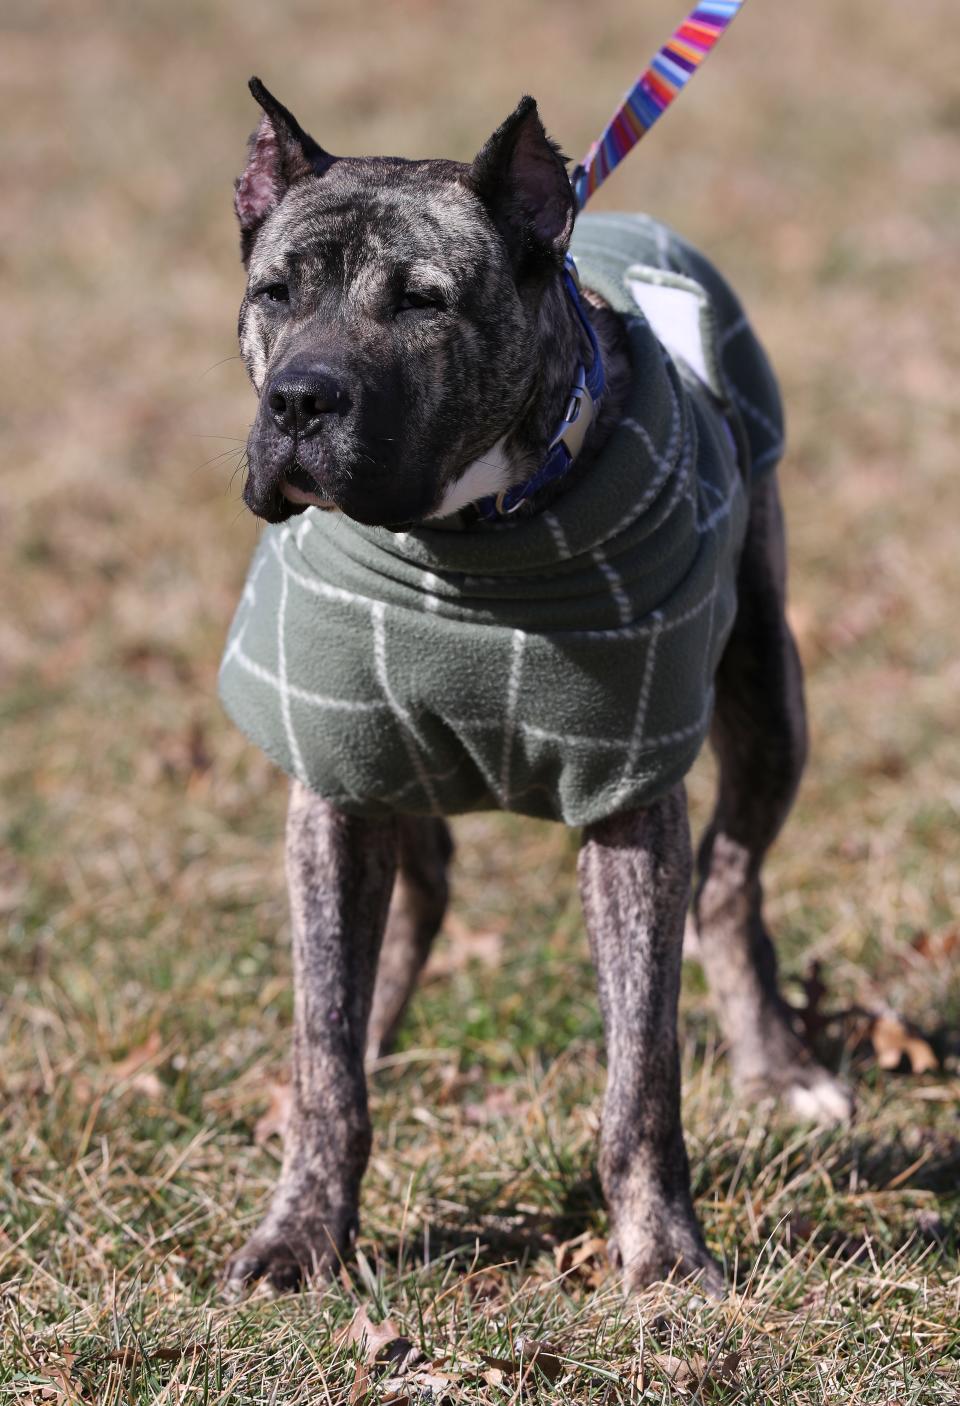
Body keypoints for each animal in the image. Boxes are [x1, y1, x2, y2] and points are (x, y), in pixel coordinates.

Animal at [216, 82, 848, 1299]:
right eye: (276, 292)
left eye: (423, 301)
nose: (302, 400)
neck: (467, 540)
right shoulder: (335, 786)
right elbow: (324, 1047)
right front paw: (301, 1230)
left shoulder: (634, 806)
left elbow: (642, 1074)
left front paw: (664, 1255)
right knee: (407, 910)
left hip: (770, 694)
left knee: (731, 881)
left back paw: (780, 1069)